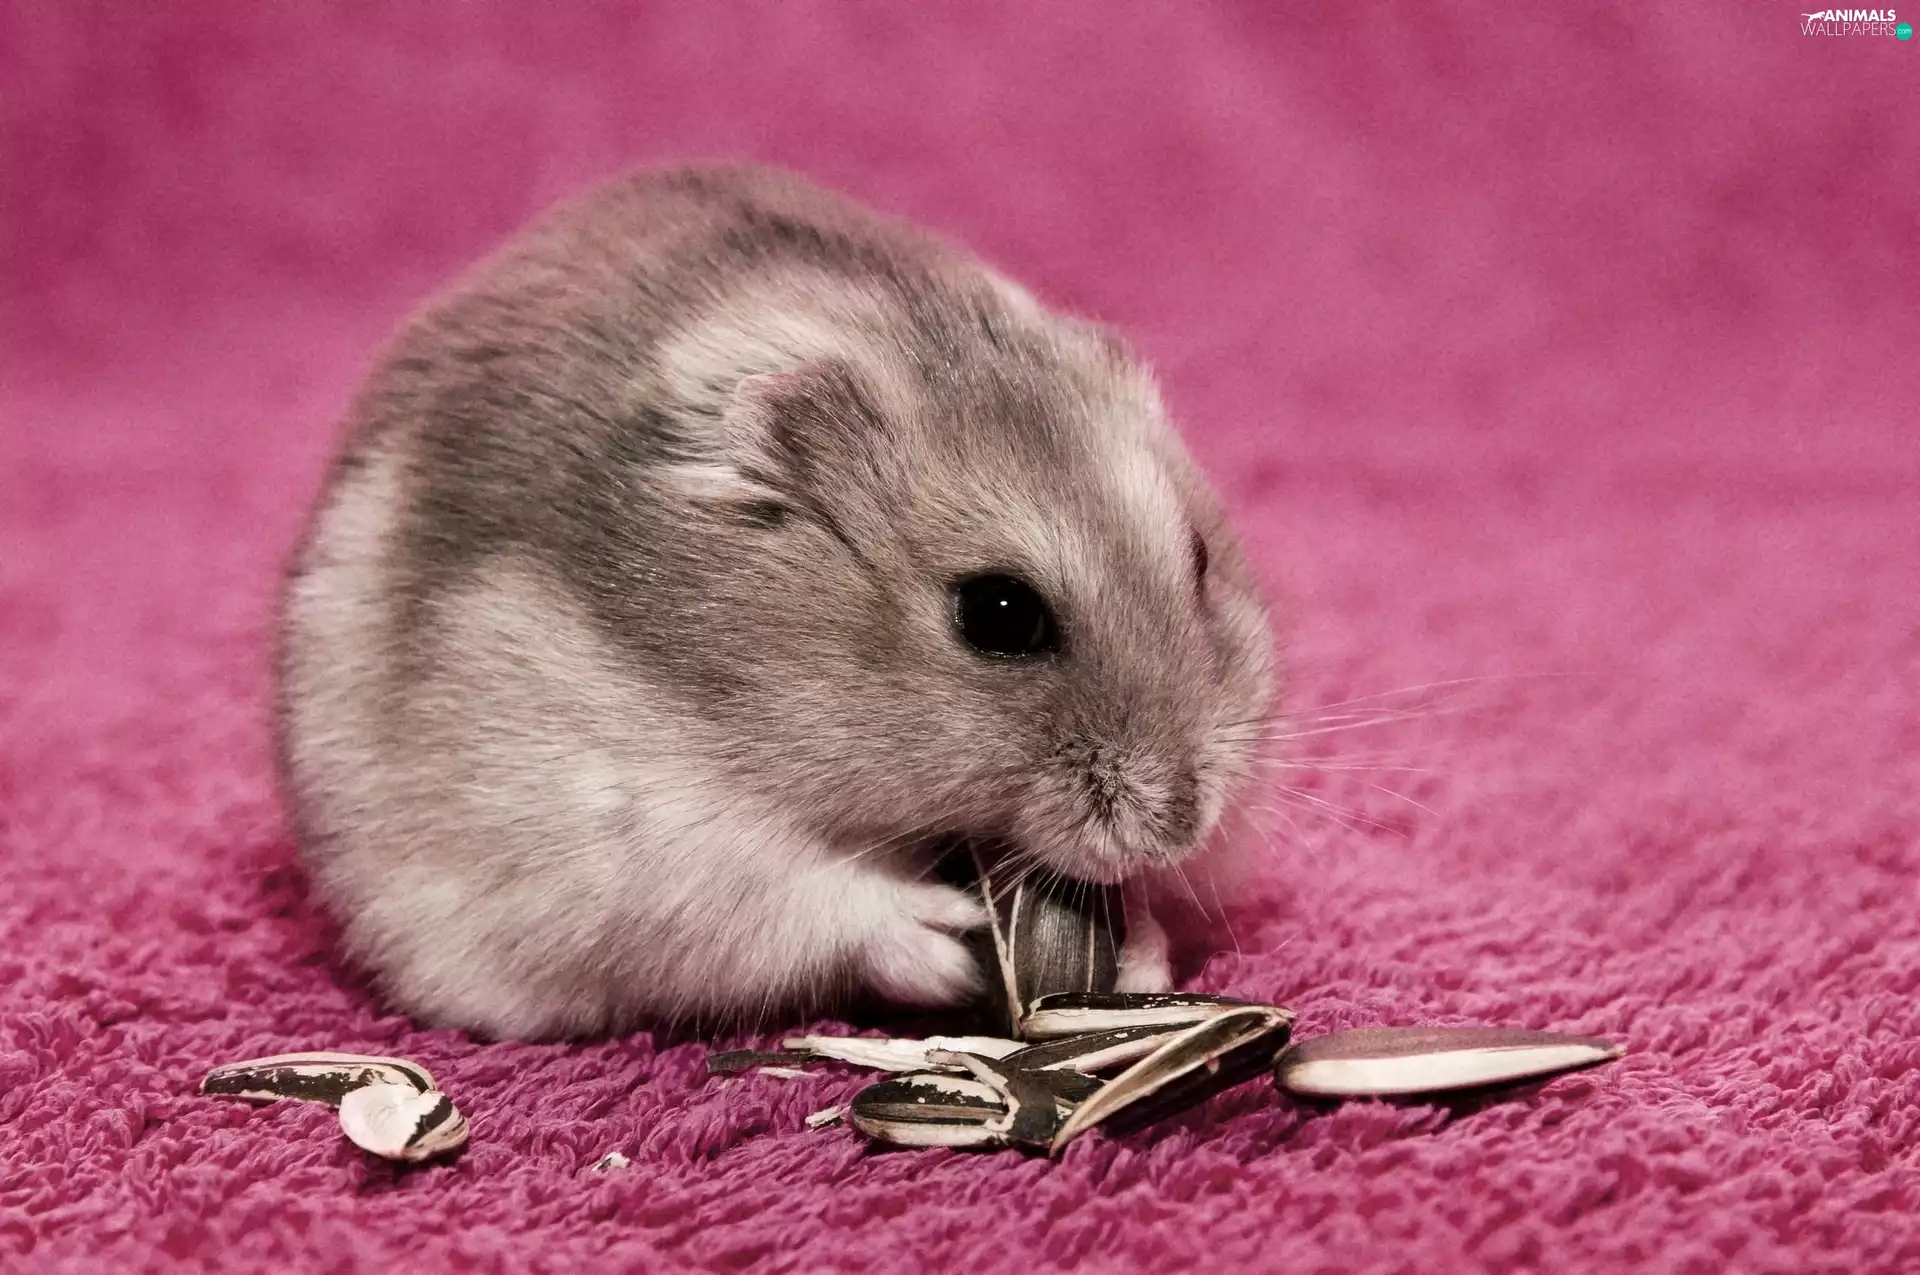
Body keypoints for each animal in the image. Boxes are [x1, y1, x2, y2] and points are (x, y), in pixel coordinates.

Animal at [276, 164, 1276, 1040]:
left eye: (1199, 559)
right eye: (998, 614)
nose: (1181, 825)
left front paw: (1142, 954)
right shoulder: (635, 840)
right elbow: (812, 896)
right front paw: (945, 937)